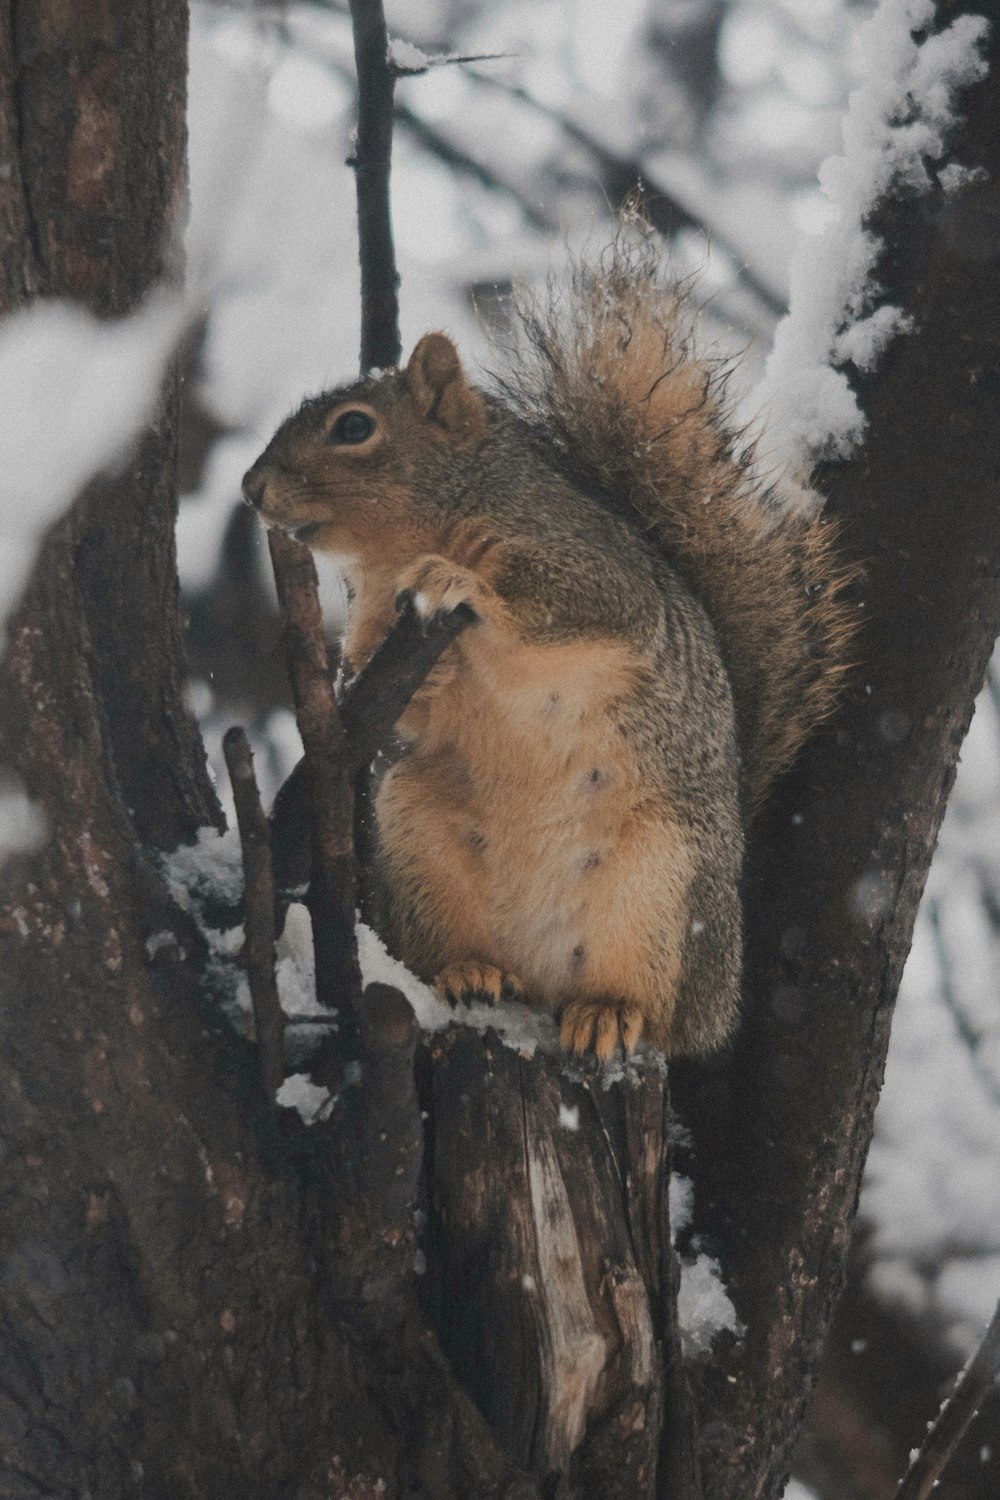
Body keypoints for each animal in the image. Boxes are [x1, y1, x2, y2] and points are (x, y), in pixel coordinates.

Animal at [239, 222, 851, 1068]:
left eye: (354, 427)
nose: (250, 489)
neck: (411, 542)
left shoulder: (592, 567)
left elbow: (561, 606)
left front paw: (460, 581)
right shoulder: (378, 619)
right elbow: (374, 686)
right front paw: (402, 674)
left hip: (664, 884)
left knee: (656, 1007)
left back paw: (610, 1014)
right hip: (416, 842)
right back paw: (471, 972)